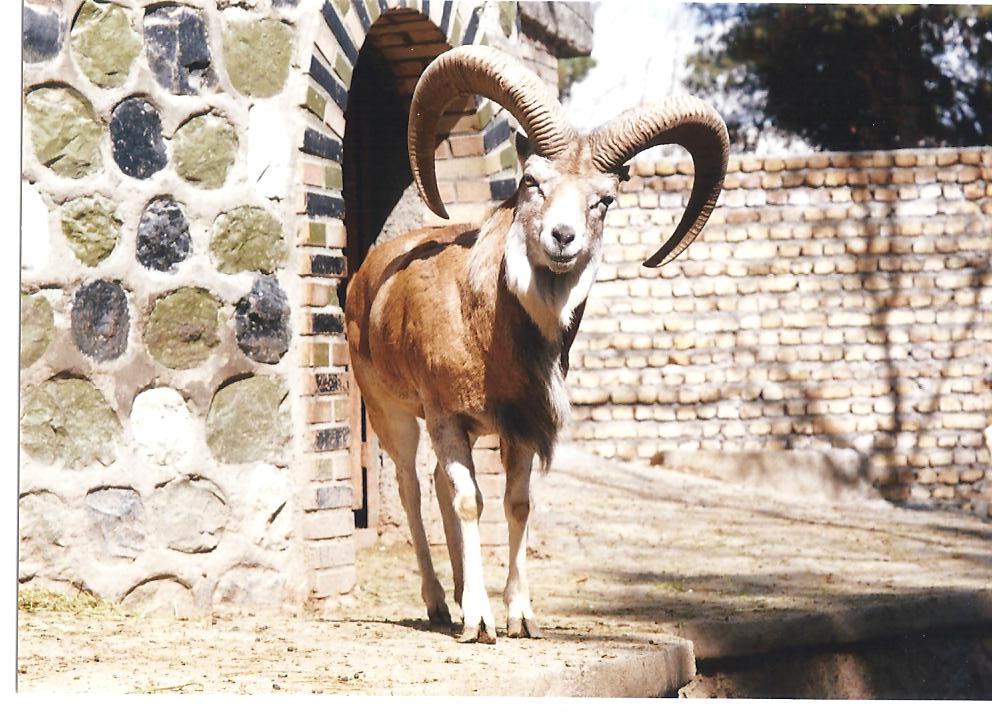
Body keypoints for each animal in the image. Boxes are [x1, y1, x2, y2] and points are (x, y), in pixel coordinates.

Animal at [344, 45, 729, 643]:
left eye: (603, 200)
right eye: (532, 182)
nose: (562, 238)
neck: (486, 327)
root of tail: (363, 278)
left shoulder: (517, 428)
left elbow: (516, 504)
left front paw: (519, 617)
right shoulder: (445, 418)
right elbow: (470, 502)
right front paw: (479, 623)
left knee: (435, 485)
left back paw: (459, 592)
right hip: (393, 415)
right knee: (411, 487)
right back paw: (440, 605)